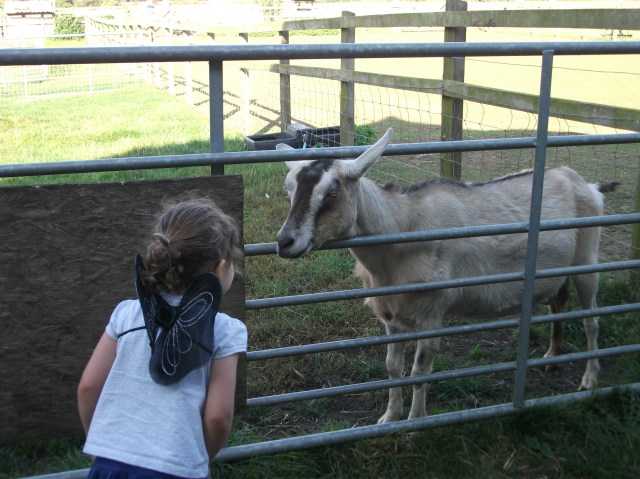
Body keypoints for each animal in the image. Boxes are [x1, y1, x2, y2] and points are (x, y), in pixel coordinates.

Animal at [276, 128, 617, 423]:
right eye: (288, 187)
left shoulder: (432, 314)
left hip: (587, 259)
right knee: (558, 303)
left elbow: (419, 373)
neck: (402, 228)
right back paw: (552, 355)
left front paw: (415, 422)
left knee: (591, 319)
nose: (285, 242)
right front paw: (389, 417)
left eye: (333, 191)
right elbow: (392, 368)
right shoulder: (392, 316)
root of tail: (584, 184)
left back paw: (589, 380)